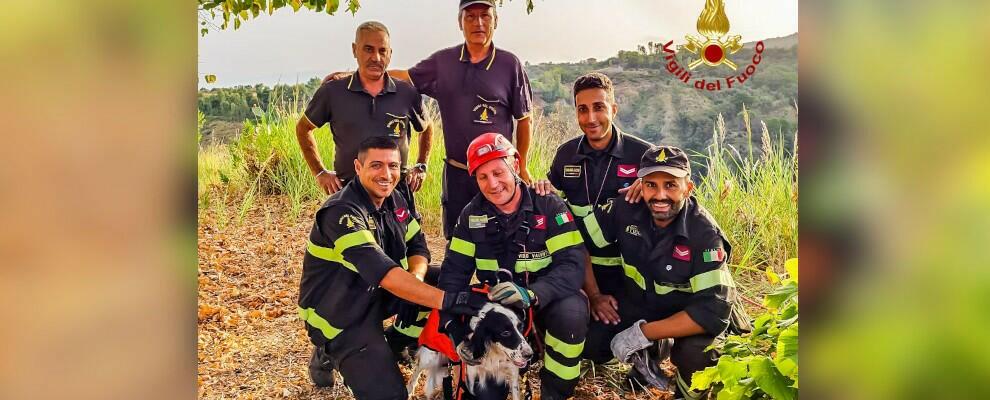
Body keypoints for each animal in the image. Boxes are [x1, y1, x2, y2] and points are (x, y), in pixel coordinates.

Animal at [408, 304, 540, 400]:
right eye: (505, 333)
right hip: (429, 357)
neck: (494, 352)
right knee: (414, 376)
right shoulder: (471, 375)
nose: (529, 355)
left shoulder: (513, 375)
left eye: (521, 327)